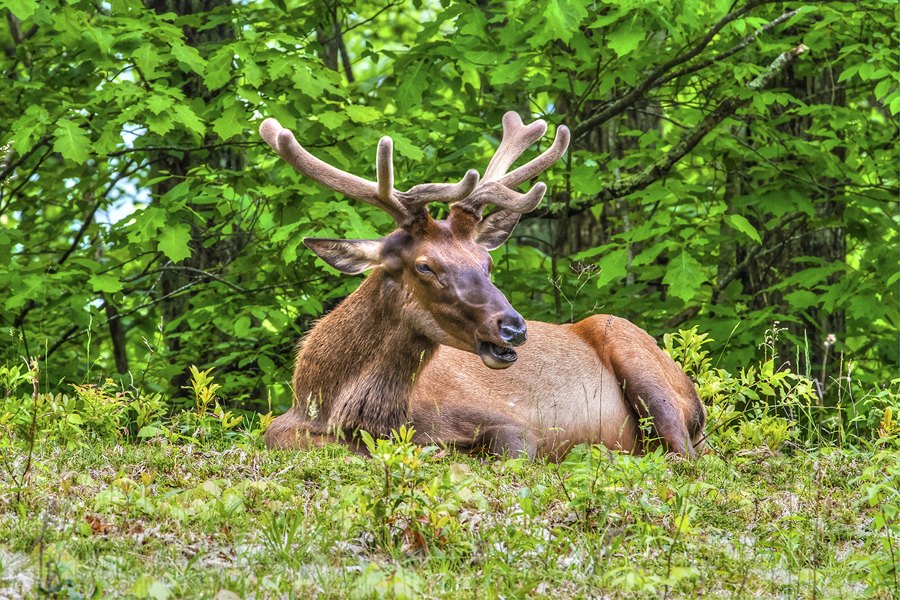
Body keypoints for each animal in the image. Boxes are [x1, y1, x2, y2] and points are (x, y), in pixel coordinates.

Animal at [259, 112, 705, 459]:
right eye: (424, 266)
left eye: (486, 263)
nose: (513, 327)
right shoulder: (281, 428)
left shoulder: (508, 421)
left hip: (637, 356)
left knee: (682, 455)